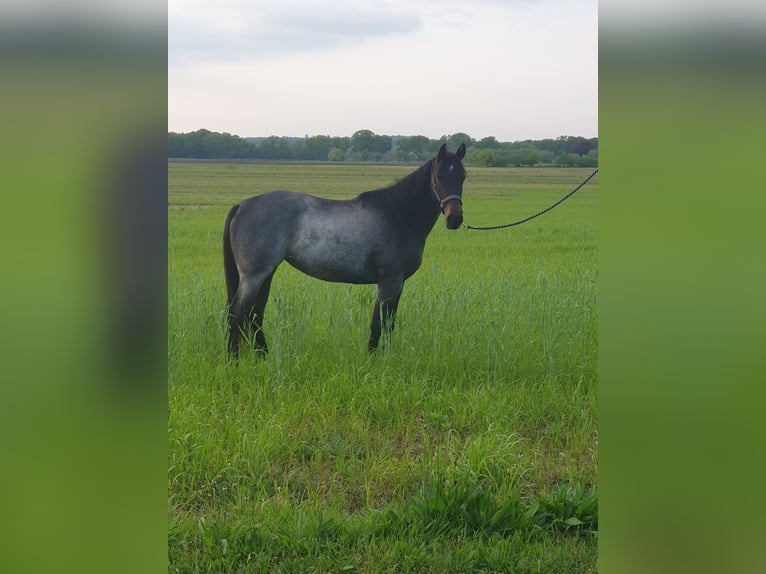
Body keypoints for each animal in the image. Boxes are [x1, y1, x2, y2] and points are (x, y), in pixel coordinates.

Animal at [222, 143, 468, 358]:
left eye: (463, 176)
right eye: (439, 176)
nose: (454, 218)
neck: (397, 216)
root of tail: (242, 205)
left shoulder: (398, 283)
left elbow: (389, 323)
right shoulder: (389, 281)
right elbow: (378, 324)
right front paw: (373, 361)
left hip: (266, 274)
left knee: (254, 316)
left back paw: (263, 356)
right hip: (253, 276)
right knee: (236, 315)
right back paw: (234, 360)